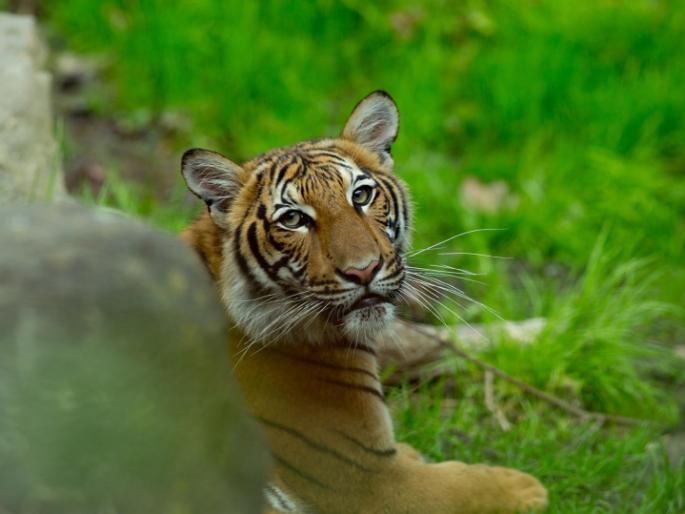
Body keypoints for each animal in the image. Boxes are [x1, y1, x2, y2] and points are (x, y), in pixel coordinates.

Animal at [181, 91, 548, 514]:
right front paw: (526, 488)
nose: (364, 271)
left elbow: (437, 339)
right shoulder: (370, 479)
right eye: (293, 219)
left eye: (361, 195)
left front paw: (542, 334)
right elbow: (463, 484)